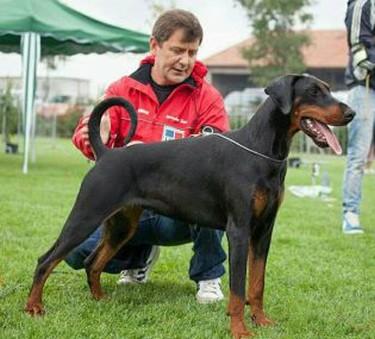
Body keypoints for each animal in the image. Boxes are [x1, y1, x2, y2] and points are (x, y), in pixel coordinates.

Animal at [25, 75, 356, 339]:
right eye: (314, 91)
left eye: (327, 89)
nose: (351, 113)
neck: (262, 151)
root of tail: (106, 153)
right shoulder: (239, 231)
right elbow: (239, 289)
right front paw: (239, 330)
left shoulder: (263, 231)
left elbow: (257, 283)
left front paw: (261, 321)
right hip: (86, 215)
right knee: (46, 259)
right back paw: (34, 307)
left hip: (122, 225)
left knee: (93, 261)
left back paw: (99, 300)